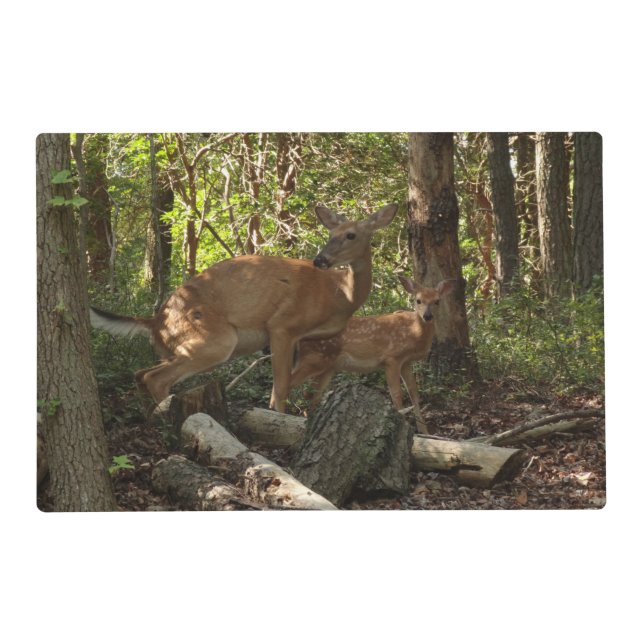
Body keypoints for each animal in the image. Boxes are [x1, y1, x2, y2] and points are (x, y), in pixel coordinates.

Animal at [89, 203, 398, 413]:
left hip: (177, 346)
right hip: (216, 339)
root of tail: (155, 321)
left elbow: (288, 385)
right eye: (331, 233)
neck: (340, 294)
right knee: (155, 378)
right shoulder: (283, 324)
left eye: (351, 235)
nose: (320, 259)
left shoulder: (301, 339)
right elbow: (281, 386)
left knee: (140, 373)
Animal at [287, 275, 456, 433]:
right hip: (313, 358)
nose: (427, 316)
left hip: (327, 367)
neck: (414, 332)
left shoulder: (406, 362)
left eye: (437, 301)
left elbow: (413, 392)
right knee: (289, 383)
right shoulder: (392, 358)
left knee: (311, 395)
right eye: (418, 300)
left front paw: (424, 431)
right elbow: (396, 394)